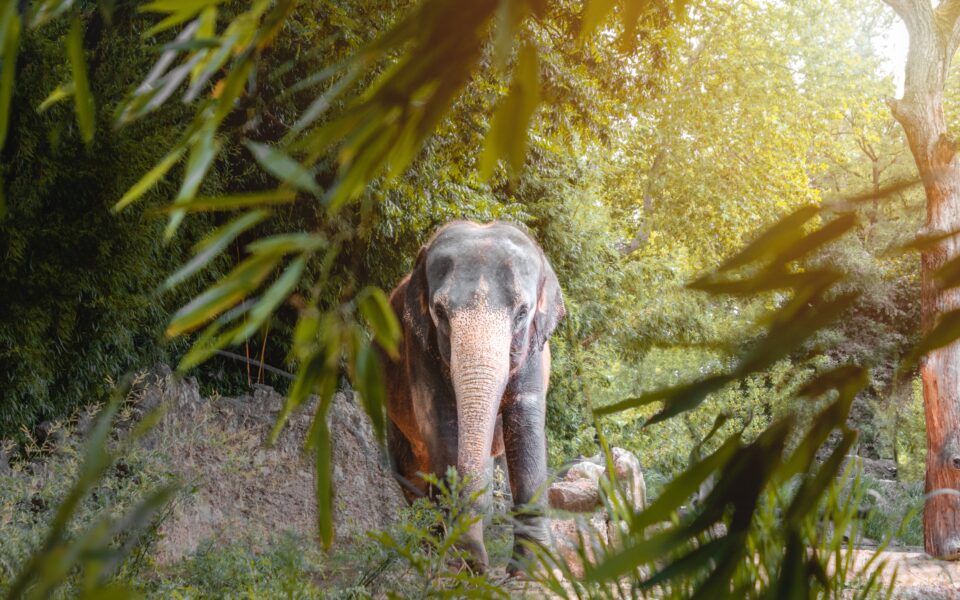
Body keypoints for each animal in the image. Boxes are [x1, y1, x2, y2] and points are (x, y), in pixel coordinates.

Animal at [382, 220, 564, 572]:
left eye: (522, 312)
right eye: (439, 311)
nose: (476, 562)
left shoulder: (533, 351)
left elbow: (525, 420)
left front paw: (532, 568)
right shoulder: (419, 347)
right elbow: (441, 421)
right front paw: (461, 565)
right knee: (410, 471)